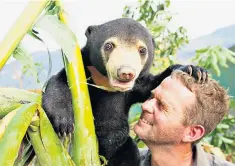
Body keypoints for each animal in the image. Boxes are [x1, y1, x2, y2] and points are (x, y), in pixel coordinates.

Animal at [42, 17, 207, 165]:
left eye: (142, 50)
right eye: (109, 46)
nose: (126, 72)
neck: (107, 85)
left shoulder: (134, 88)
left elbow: (151, 85)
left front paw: (195, 71)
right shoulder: (81, 71)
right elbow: (59, 83)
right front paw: (64, 124)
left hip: (122, 146)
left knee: (129, 154)